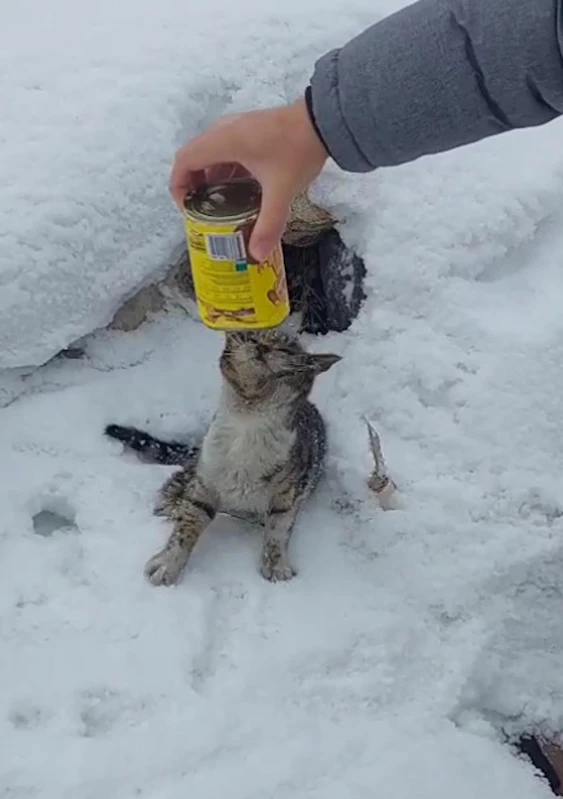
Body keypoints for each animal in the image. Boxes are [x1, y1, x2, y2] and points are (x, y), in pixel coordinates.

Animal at [105, 328, 340, 584]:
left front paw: (276, 565)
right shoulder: (205, 483)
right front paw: (168, 563)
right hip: (195, 471)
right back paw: (173, 505)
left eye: (285, 348)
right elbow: (187, 524)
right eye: (252, 337)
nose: (261, 347)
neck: (249, 418)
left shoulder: (290, 492)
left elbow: (278, 529)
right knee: (173, 489)